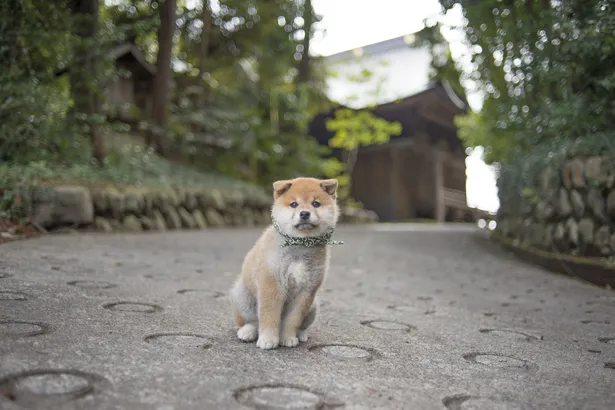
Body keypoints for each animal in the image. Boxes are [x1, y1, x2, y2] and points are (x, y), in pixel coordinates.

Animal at [230, 176, 344, 350]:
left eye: (316, 204)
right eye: (294, 204)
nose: (304, 213)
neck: (300, 245)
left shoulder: (306, 292)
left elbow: (293, 319)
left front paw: (288, 338)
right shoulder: (272, 284)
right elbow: (269, 317)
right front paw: (268, 339)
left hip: (313, 307)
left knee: (302, 325)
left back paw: (301, 334)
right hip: (243, 297)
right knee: (251, 321)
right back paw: (247, 331)